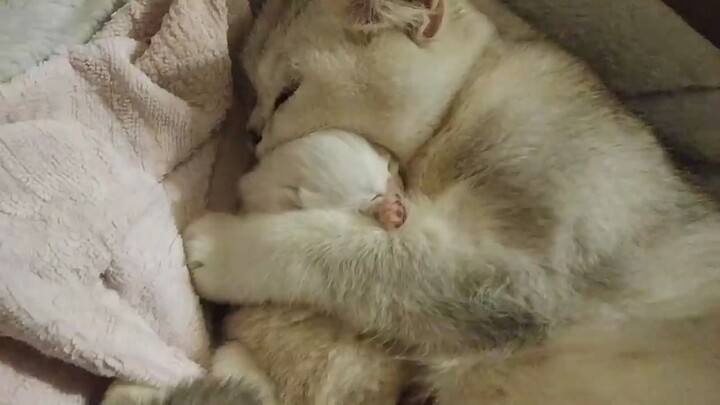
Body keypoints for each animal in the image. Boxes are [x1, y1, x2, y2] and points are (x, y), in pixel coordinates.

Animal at [181, 0, 720, 400]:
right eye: (253, 90)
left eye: (287, 92)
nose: (251, 132)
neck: (474, 88)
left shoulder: (526, 274)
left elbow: (359, 257)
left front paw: (222, 246)